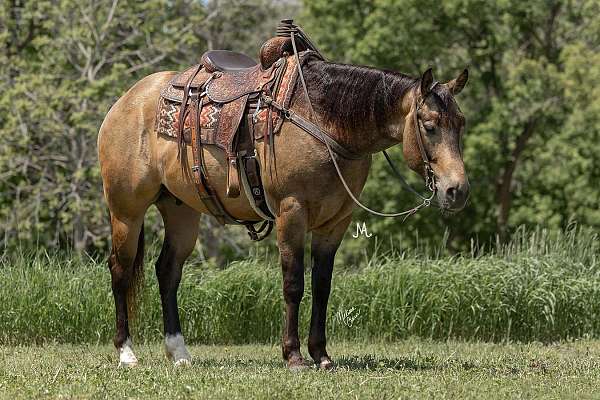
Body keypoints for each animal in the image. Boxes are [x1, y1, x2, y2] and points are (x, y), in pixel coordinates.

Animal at [98, 21, 468, 368]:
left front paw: (321, 355)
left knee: (167, 271)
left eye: (461, 124)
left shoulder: (335, 223)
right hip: (126, 211)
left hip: (181, 212)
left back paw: (179, 352)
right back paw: (126, 352)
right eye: (430, 125)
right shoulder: (291, 213)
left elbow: (322, 287)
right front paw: (293, 355)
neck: (323, 121)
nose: (457, 190)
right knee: (120, 269)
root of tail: (126, 101)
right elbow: (293, 284)